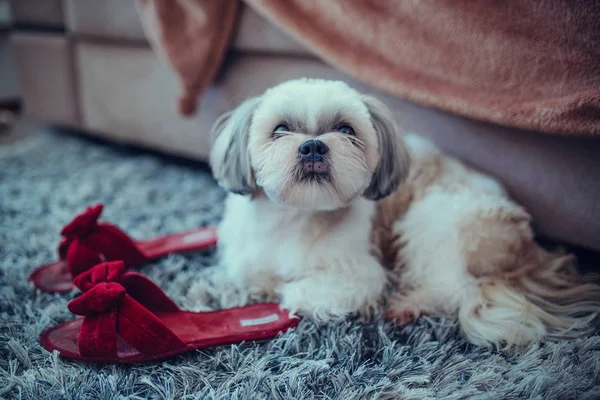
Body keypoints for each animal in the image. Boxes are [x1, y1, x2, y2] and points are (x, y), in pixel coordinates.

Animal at [207, 77, 600, 346]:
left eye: (346, 129)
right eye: (280, 130)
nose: (313, 146)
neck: (296, 217)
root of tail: (527, 247)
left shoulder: (359, 276)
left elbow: (300, 292)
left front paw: (282, 293)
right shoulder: (243, 258)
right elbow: (247, 276)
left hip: (434, 217)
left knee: (454, 288)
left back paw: (407, 305)